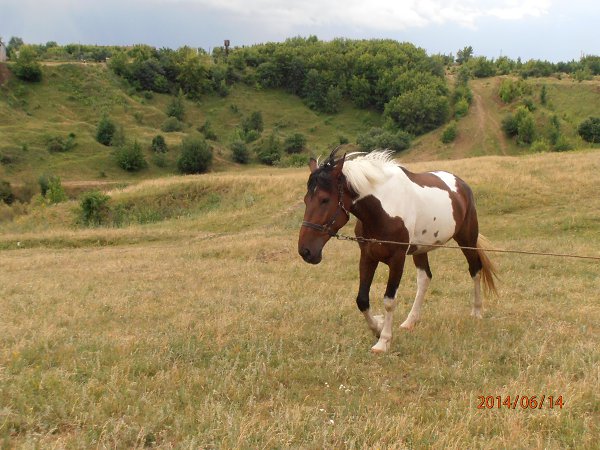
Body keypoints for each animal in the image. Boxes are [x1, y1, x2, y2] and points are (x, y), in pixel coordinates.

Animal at [298, 148, 497, 353]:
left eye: (324, 199)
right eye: (306, 200)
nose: (306, 251)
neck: (383, 209)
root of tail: (461, 184)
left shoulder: (397, 259)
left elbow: (389, 301)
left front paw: (383, 341)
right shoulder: (367, 256)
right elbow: (362, 300)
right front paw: (377, 328)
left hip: (466, 239)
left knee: (475, 269)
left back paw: (477, 311)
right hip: (420, 249)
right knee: (425, 278)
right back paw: (410, 321)